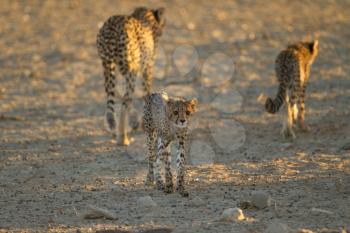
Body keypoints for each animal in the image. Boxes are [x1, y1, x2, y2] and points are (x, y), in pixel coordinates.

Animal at [96, 7, 166, 145]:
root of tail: (113, 24)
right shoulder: (147, 68)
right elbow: (147, 93)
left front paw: (136, 123)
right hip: (130, 69)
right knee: (125, 100)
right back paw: (123, 138)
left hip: (108, 66)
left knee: (113, 99)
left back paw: (114, 129)